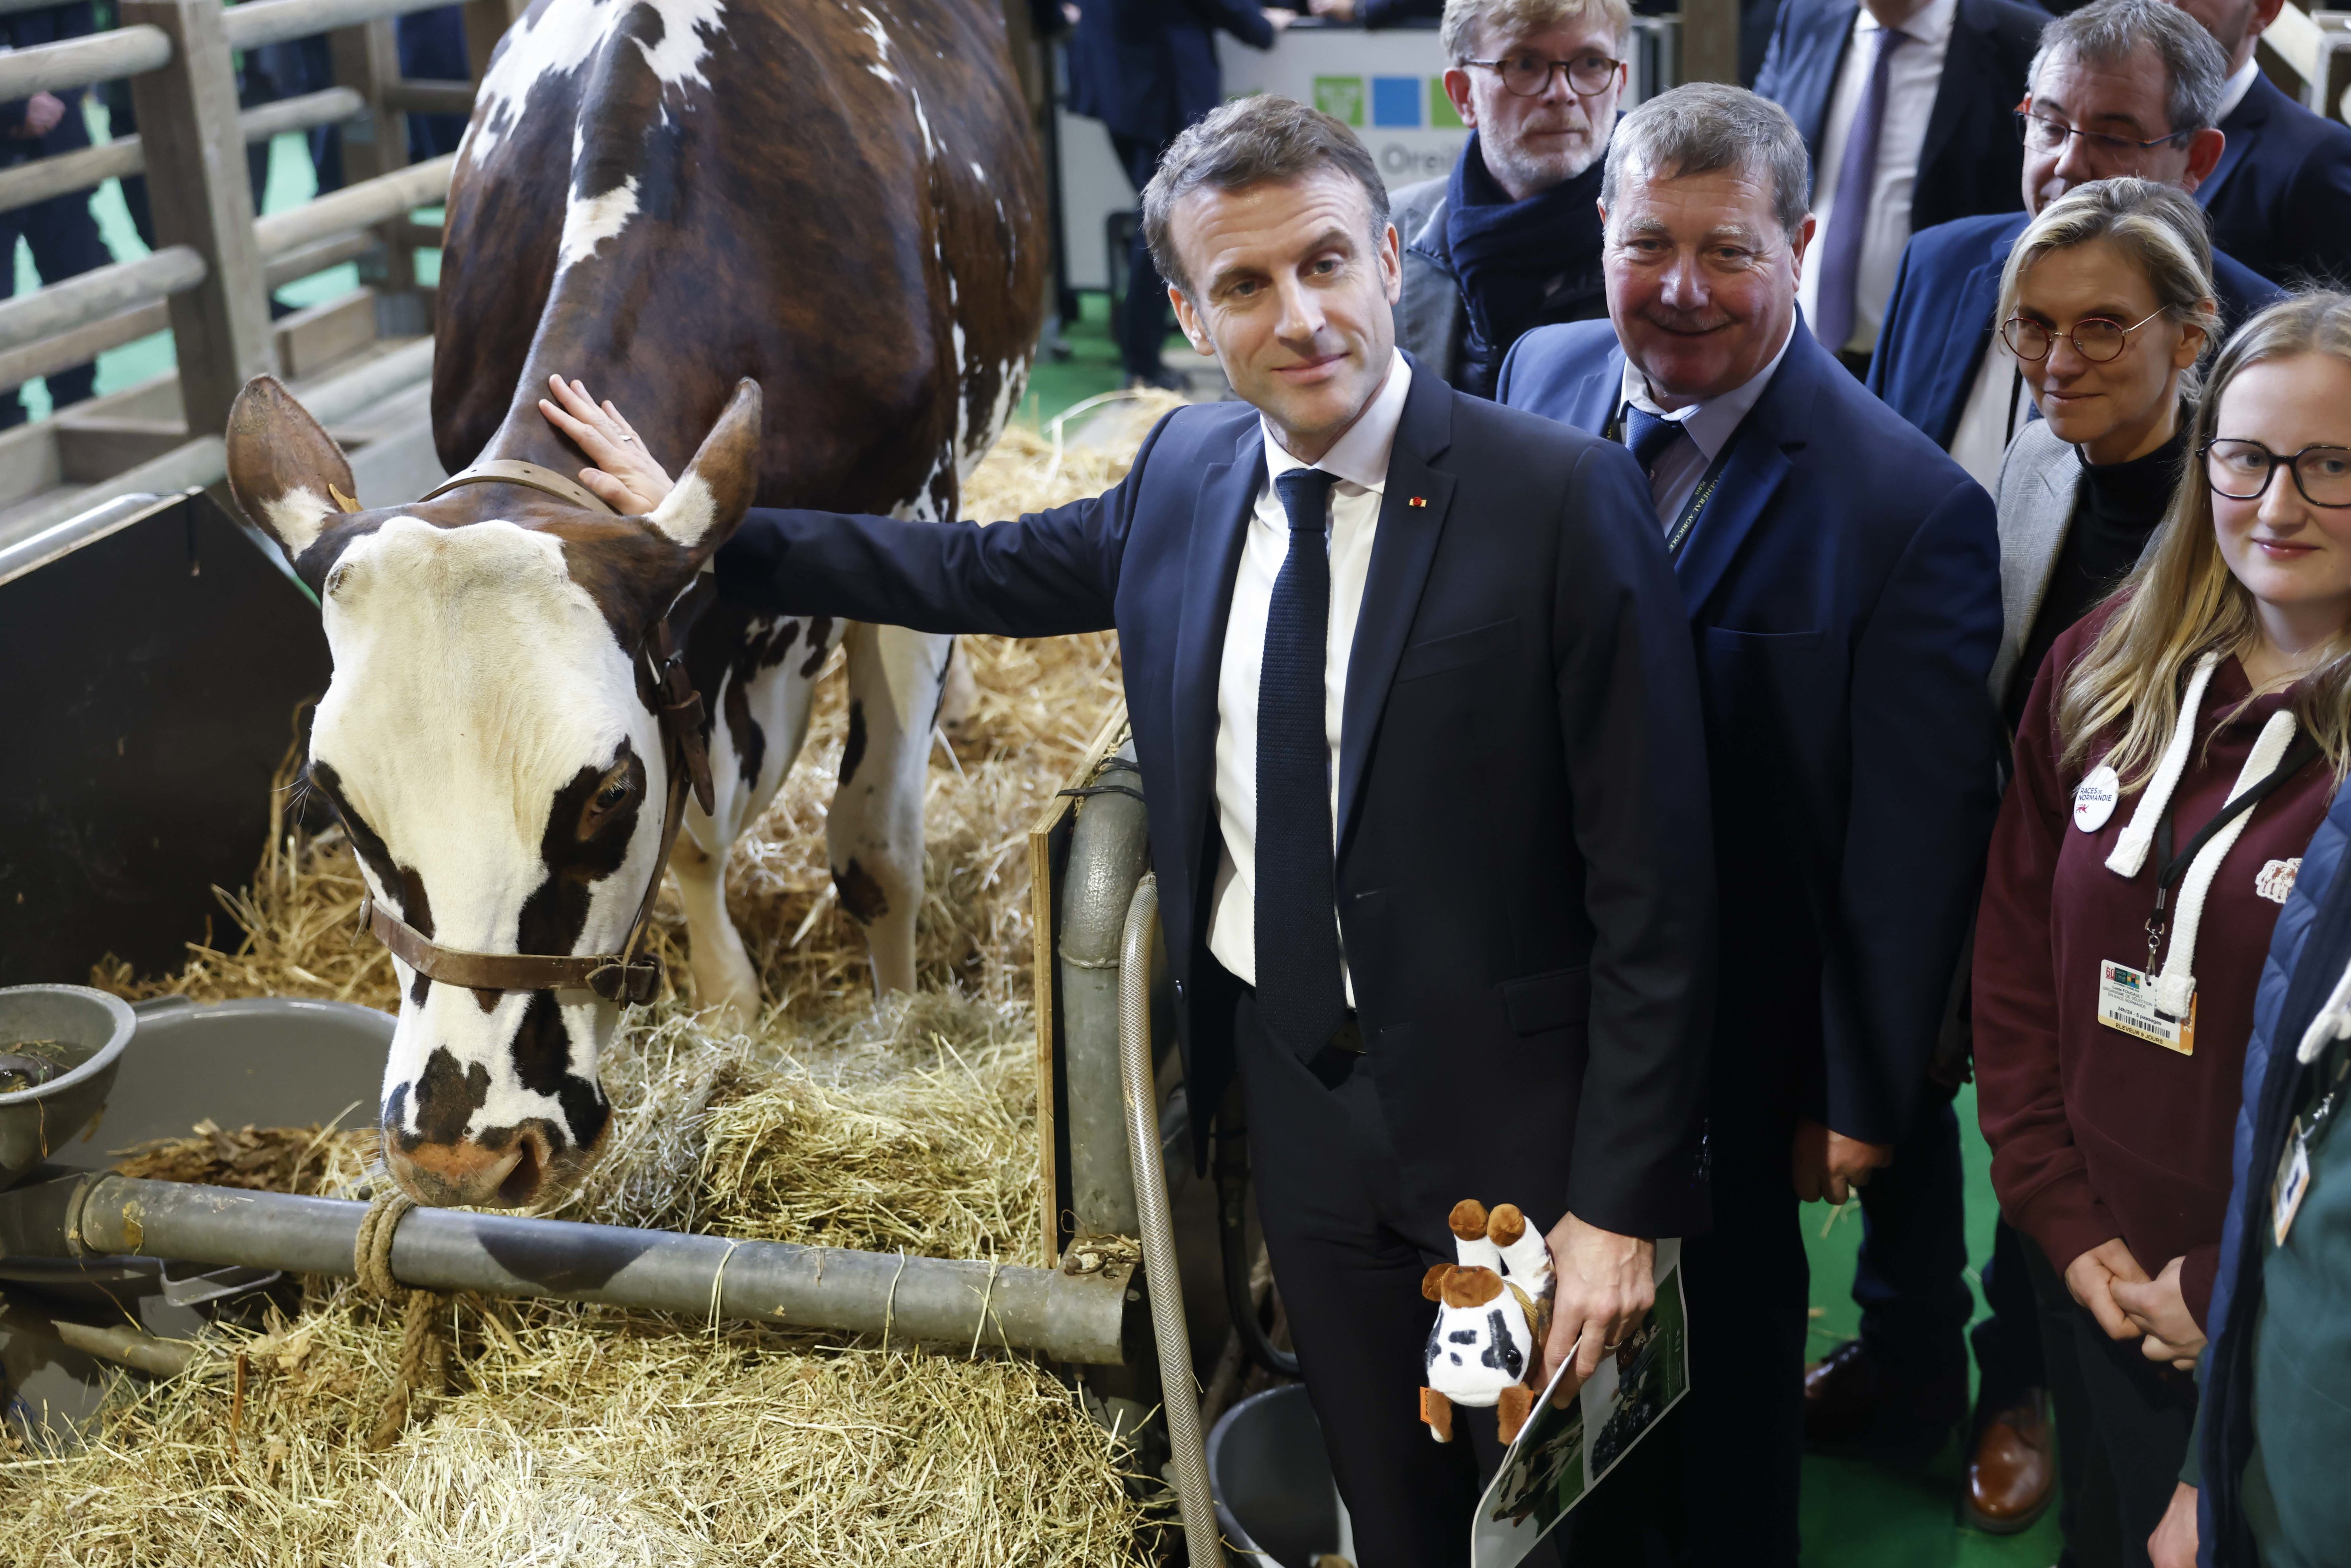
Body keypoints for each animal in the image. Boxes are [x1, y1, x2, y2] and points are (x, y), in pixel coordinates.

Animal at [222, 0, 1049, 1213]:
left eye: (607, 794)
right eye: (333, 800)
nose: (465, 1150)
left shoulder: (916, 517)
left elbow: (874, 848)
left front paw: (897, 1029)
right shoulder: (684, 661)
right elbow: (699, 851)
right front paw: (726, 1011)